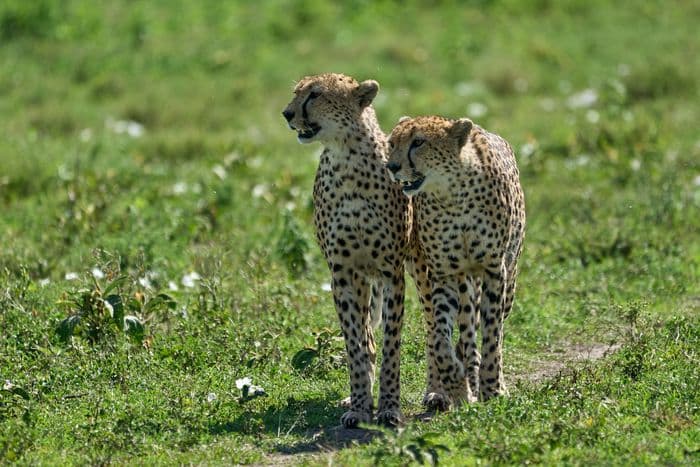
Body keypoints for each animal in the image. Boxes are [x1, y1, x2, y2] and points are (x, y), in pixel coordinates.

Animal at [282, 73, 417, 427]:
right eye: (296, 93)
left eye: (315, 95)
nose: (287, 113)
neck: (347, 157)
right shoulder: (342, 273)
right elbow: (356, 343)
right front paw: (359, 406)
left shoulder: (391, 271)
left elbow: (392, 344)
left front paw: (389, 407)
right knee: (367, 336)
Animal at [386, 115, 526, 406]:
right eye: (392, 143)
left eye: (418, 142)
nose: (392, 166)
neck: (452, 195)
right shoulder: (444, 274)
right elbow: (440, 337)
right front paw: (456, 383)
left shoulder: (494, 270)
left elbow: (493, 335)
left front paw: (493, 389)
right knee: (459, 331)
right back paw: (449, 386)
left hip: (509, 279)